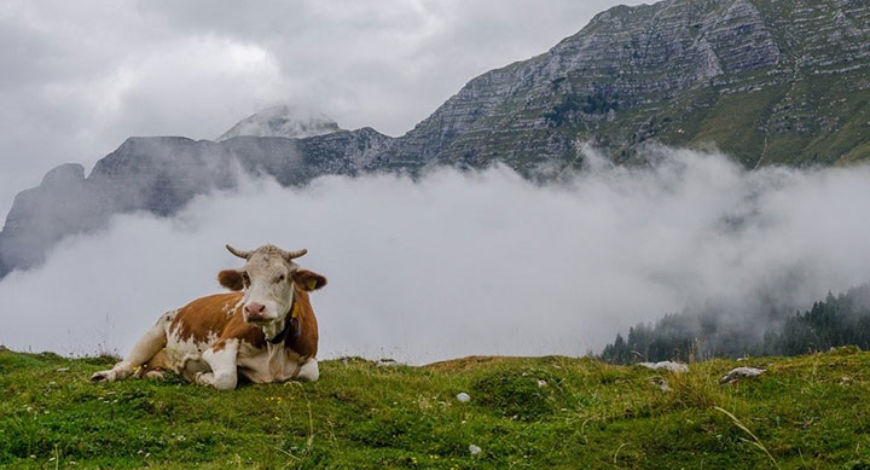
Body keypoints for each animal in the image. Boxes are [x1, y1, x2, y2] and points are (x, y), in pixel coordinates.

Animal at [90, 242, 328, 390]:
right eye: (246, 276)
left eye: (282, 276)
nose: (253, 309)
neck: (274, 347)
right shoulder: (219, 346)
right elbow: (227, 378)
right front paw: (201, 377)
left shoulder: (310, 357)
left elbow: (310, 374)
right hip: (154, 331)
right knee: (127, 364)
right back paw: (105, 375)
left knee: (145, 370)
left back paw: (159, 374)